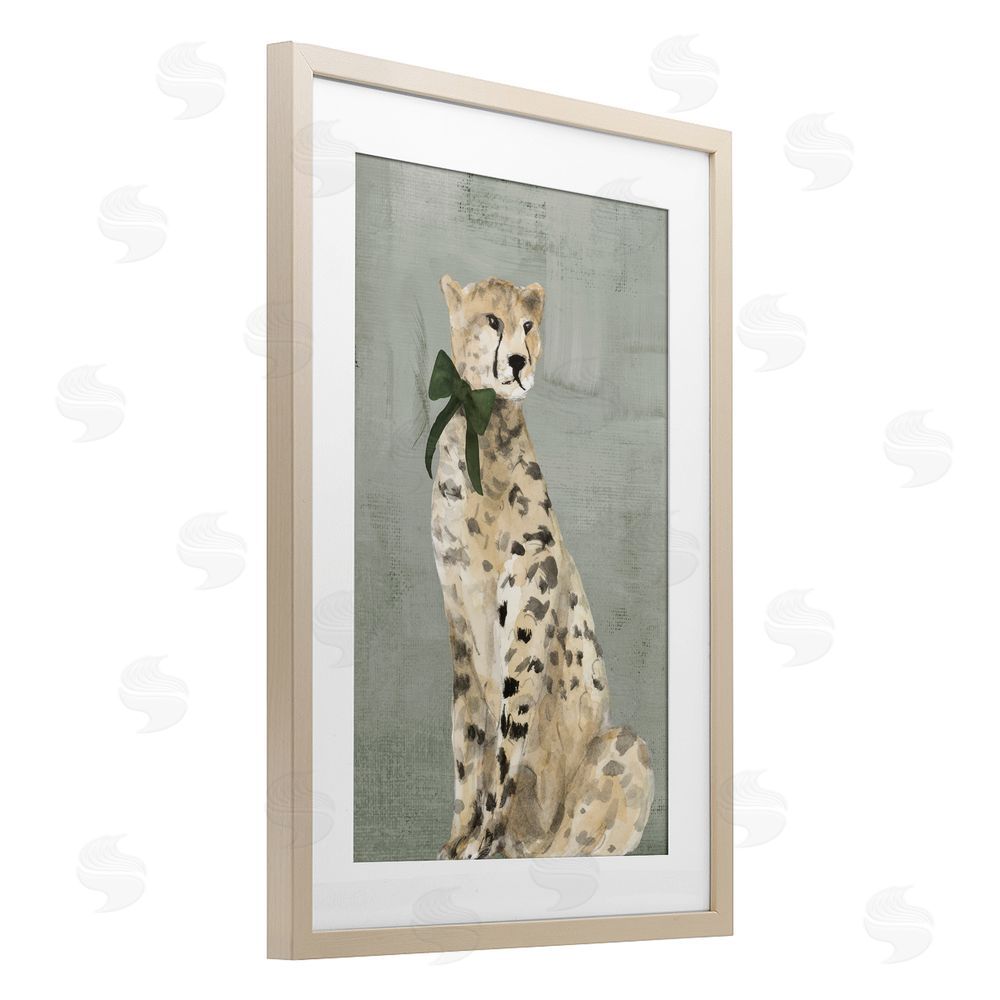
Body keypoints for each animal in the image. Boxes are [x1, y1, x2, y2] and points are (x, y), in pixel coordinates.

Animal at [429, 274, 654, 860]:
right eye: (492, 320)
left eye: (528, 324)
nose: (517, 361)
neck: (483, 431)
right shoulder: (458, 618)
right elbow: (468, 742)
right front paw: (457, 839)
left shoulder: (527, 615)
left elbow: (507, 744)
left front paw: (482, 839)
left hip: (625, 747)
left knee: (569, 846)